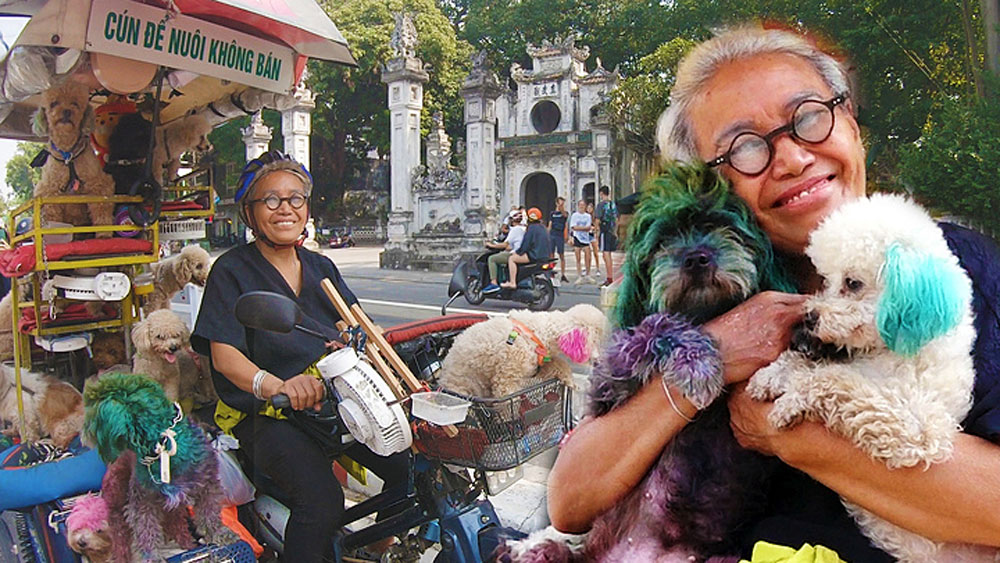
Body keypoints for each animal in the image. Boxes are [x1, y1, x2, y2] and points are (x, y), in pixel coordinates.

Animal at [32, 80, 115, 235]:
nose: (66, 111)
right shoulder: (49, 189)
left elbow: (101, 207)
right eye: (54, 103)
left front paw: (104, 232)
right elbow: (52, 212)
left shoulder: (98, 182)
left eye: (75, 103)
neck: (68, 154)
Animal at [83, 372, 231, 560]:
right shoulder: (142, 501)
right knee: (120, 538)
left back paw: (187, 544)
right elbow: (146, 529)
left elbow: (209, 512)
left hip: (173, 508)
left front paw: (219, 533)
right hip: (117, 502)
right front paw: (151, 556)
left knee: (177, 526)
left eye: (92, 401)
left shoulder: (207, 485)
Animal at [440, 304, 604, 400]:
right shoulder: (506, 381)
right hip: (464, 387)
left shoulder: (538, 365)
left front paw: (569, 379)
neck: (538, 333)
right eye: (595, 340)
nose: (598, 361)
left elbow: (559, 363)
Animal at [512, 165, 792, 560]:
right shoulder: (607, 384)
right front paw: (699, 363)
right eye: (664, 239)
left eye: (724, 226)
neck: (707, 311)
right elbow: (657, 324)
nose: (696, 258)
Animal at [748, 195, 988, 563]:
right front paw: (772, 376)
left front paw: (790, 402)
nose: (808, 318)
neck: (891, 352)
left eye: (853, 283)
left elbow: (835, 381)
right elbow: (818, 365)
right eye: (825, 279)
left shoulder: (917, 430)